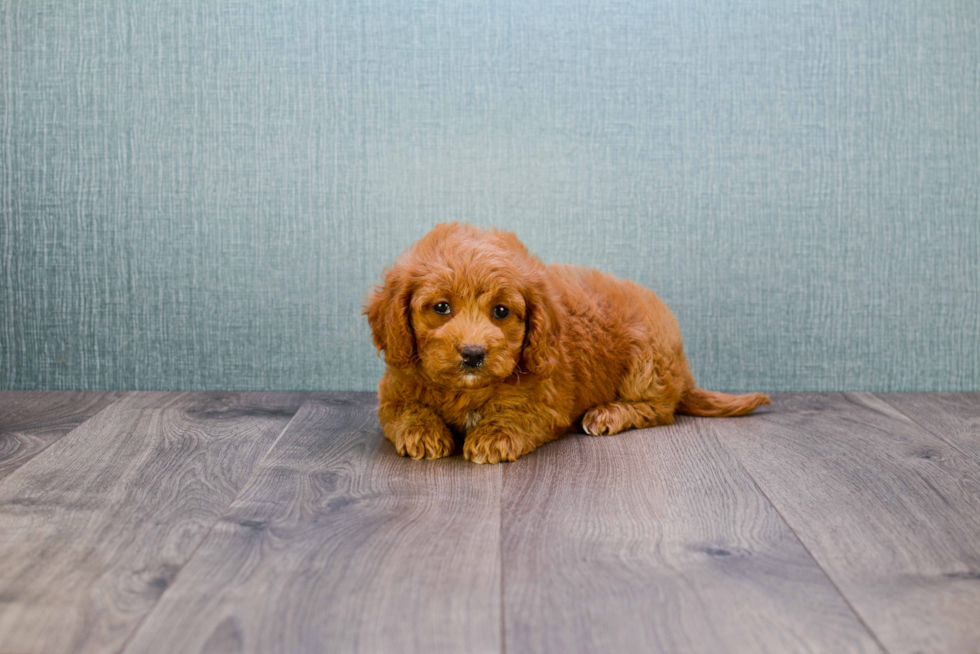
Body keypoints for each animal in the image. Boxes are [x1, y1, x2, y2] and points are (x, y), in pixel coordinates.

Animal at [364, 223, 768, 464]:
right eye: (441, 308)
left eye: (501, 311)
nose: (474, 354)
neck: (467, 390)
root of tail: (684, 374)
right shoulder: (394, 388)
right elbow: (404, 410)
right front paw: (422, 432)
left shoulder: (547, 399)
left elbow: (516, 413)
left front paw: (493, 436)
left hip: (647, 362)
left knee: (659, 409)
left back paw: (608, 414)